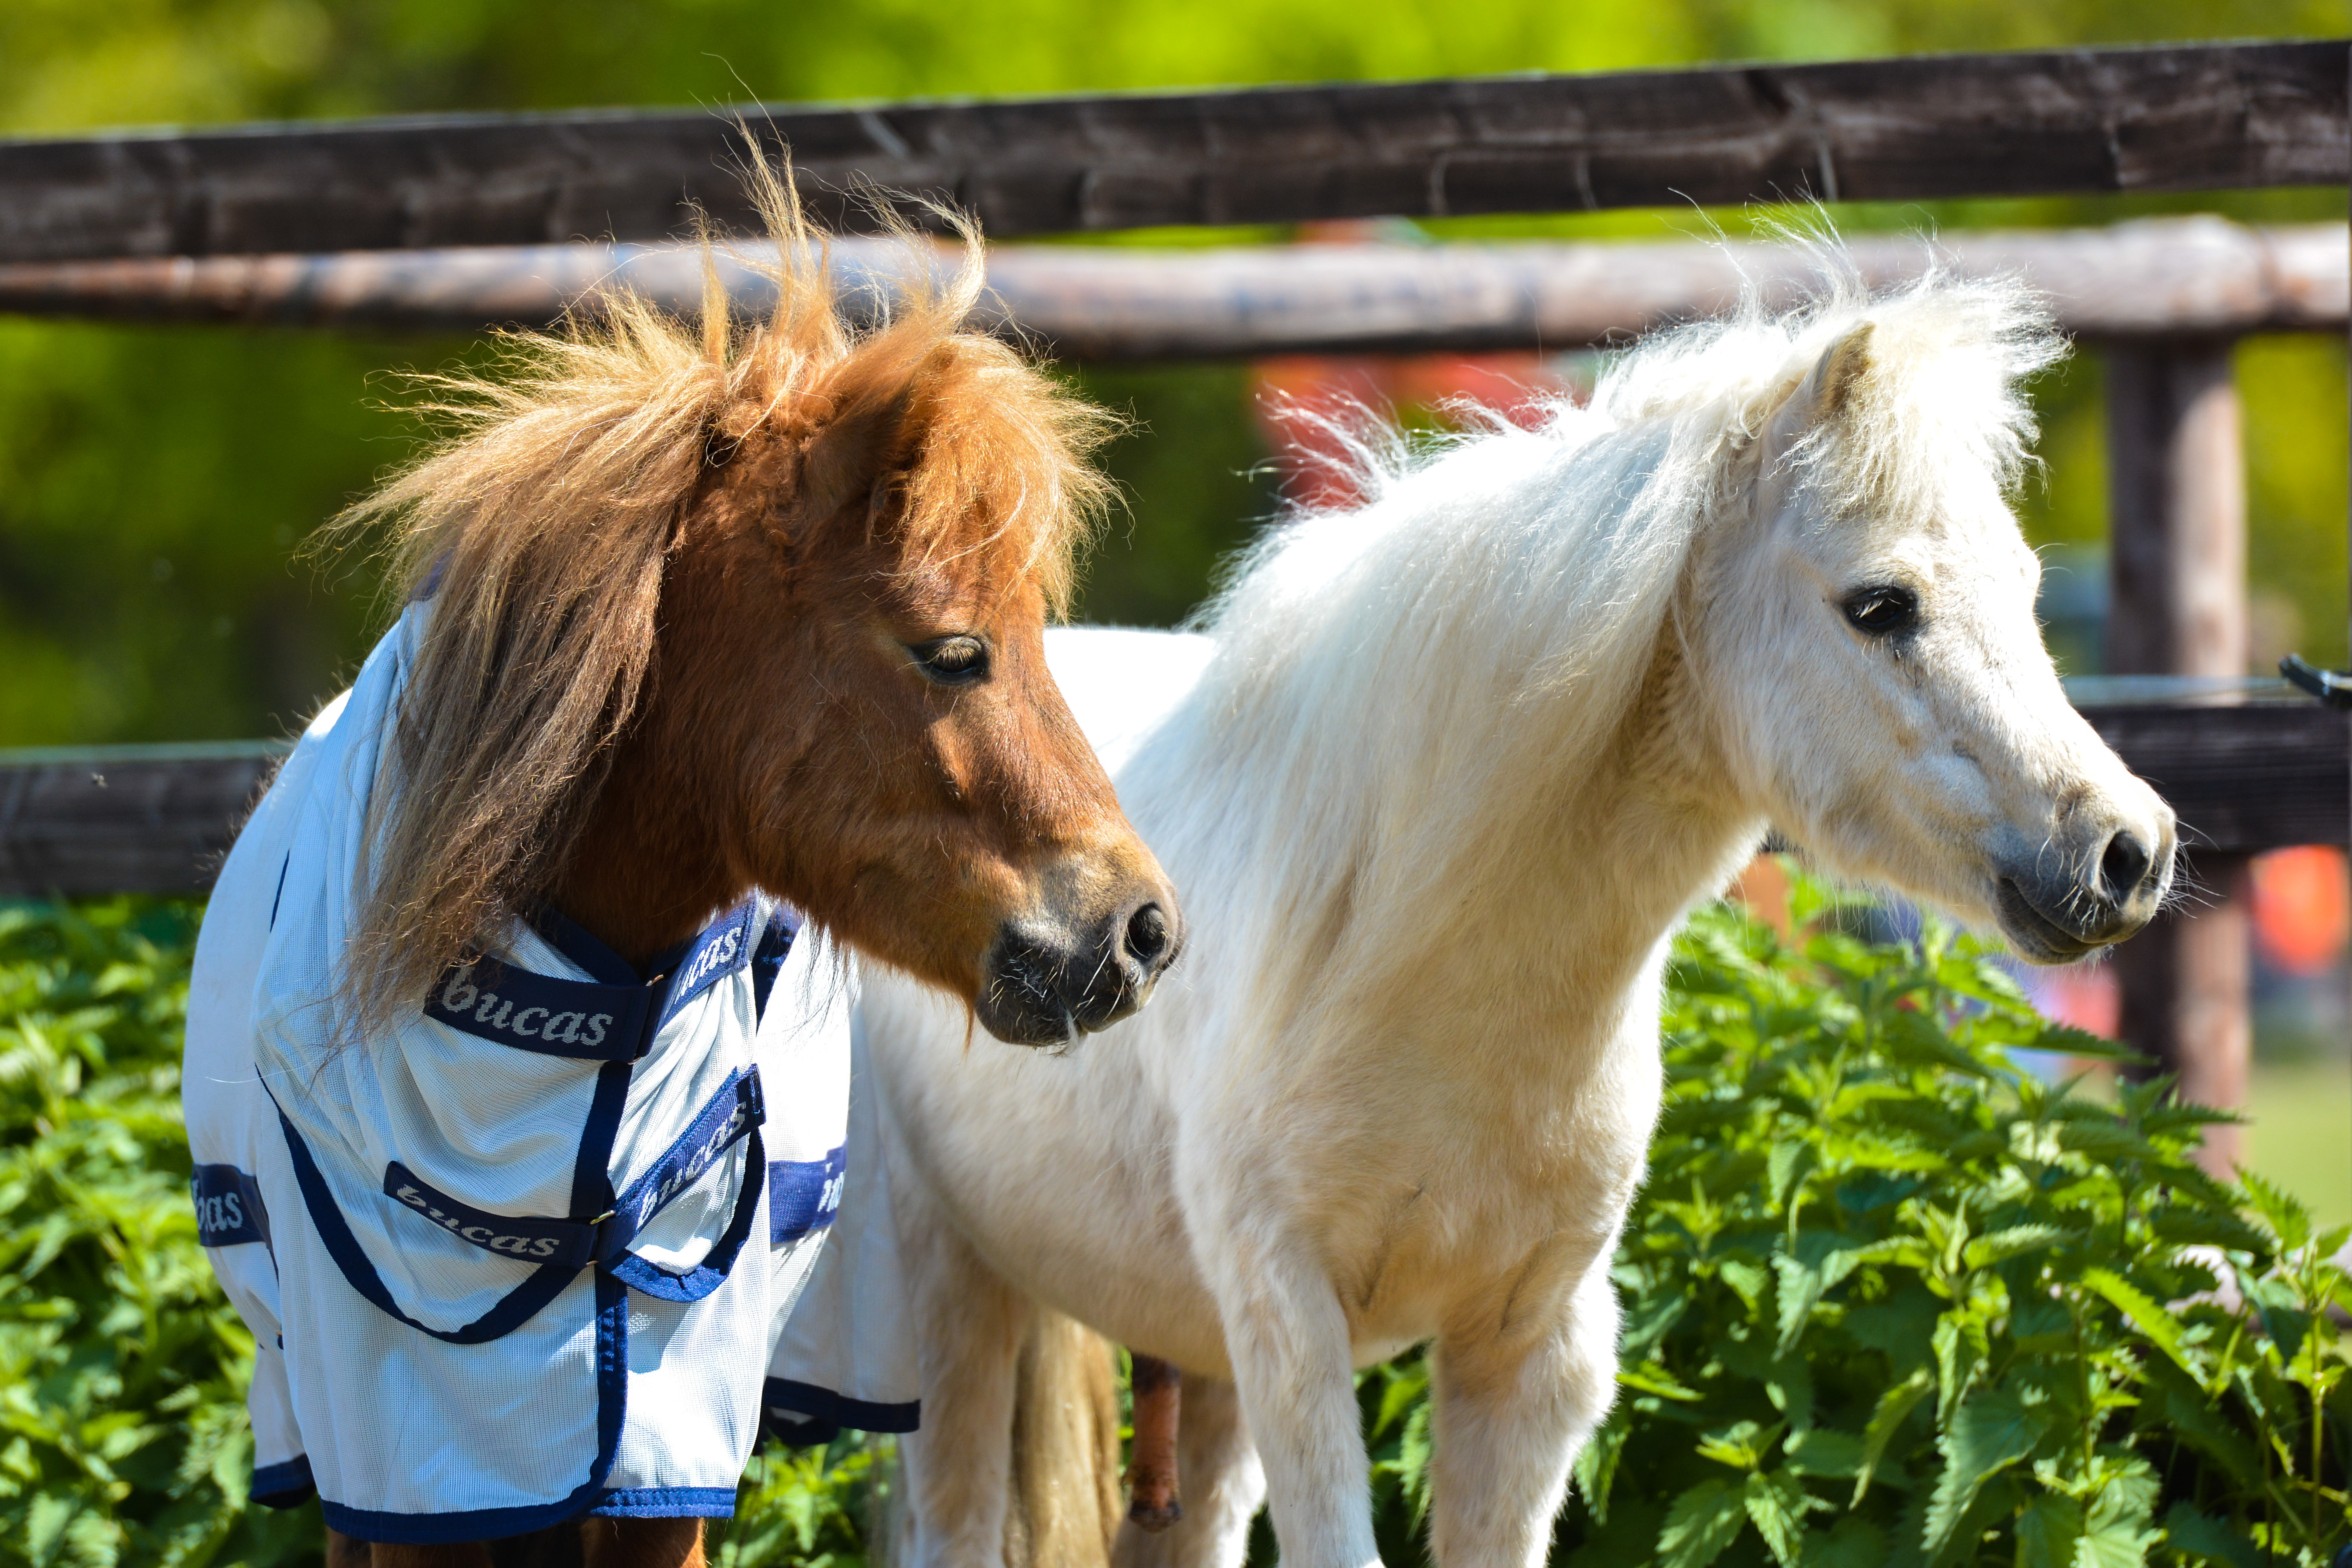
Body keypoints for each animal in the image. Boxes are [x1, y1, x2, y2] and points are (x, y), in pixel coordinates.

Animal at [851, 263, 2177, 1568]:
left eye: (2026, 587)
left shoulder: (1529, 1353)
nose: (2126, 851)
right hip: (950, 1303)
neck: (1415, 963)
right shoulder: (1292, 1330)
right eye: (1880, 603)